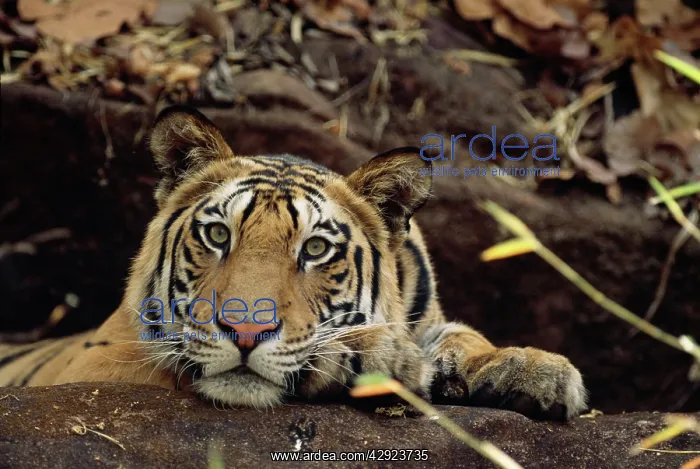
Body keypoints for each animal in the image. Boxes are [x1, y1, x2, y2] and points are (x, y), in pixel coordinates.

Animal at [0, 105, 587, 420]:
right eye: (218, 235)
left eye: (314, 249)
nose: (244, 332)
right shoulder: (100, 364)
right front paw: (377, 358)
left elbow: (466, 336)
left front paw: (535, 370)